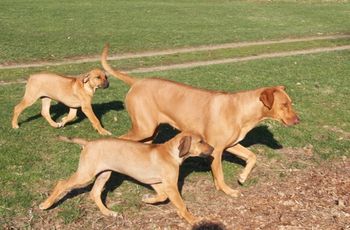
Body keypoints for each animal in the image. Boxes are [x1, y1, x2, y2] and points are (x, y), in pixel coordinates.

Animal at [38, 133, 213, 225]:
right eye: (200, 141)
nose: (212, 149)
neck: (171, 152)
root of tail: (88, 143)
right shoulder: (170, 185)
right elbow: (181, 205)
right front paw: (194, 220)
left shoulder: (155, 182)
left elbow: (162, 197)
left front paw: (147, 199)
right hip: (85, 174)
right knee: (62, 184)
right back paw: (46, 204)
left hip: (104, 174)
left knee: (94, 193)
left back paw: (109, 213)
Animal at [100, 44, 300, 197]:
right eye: (284, 105)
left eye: (291, 102)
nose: (298, 120)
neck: (240, 109)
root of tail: (137, 81)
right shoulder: (217, 150)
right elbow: (220, 175)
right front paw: (227, 190)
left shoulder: (232, 145)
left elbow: (252, 157)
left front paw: (242, 177)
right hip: (144, 129)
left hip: (149, 132)